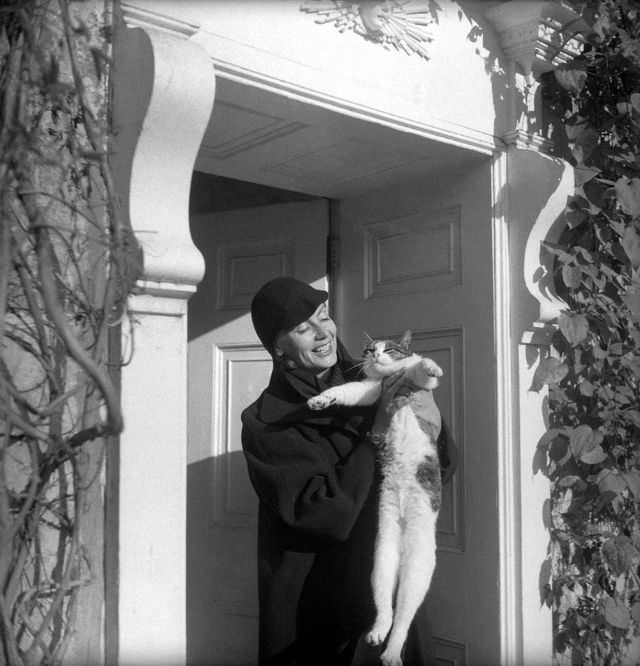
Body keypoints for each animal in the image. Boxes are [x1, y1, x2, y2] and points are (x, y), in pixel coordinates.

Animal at [308, 330, 442, 664]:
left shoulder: (413, 383)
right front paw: (320, 399)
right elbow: (346, 390)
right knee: (388, 608)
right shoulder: (371, 391)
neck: (388, 377)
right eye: (371, 349)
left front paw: (431, 366)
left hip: (418, 563)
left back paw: (392, 651)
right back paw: (379, 633)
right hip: (382, 557)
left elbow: (421, 370)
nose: (376, 354)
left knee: (405, 614)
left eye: (390, 349)